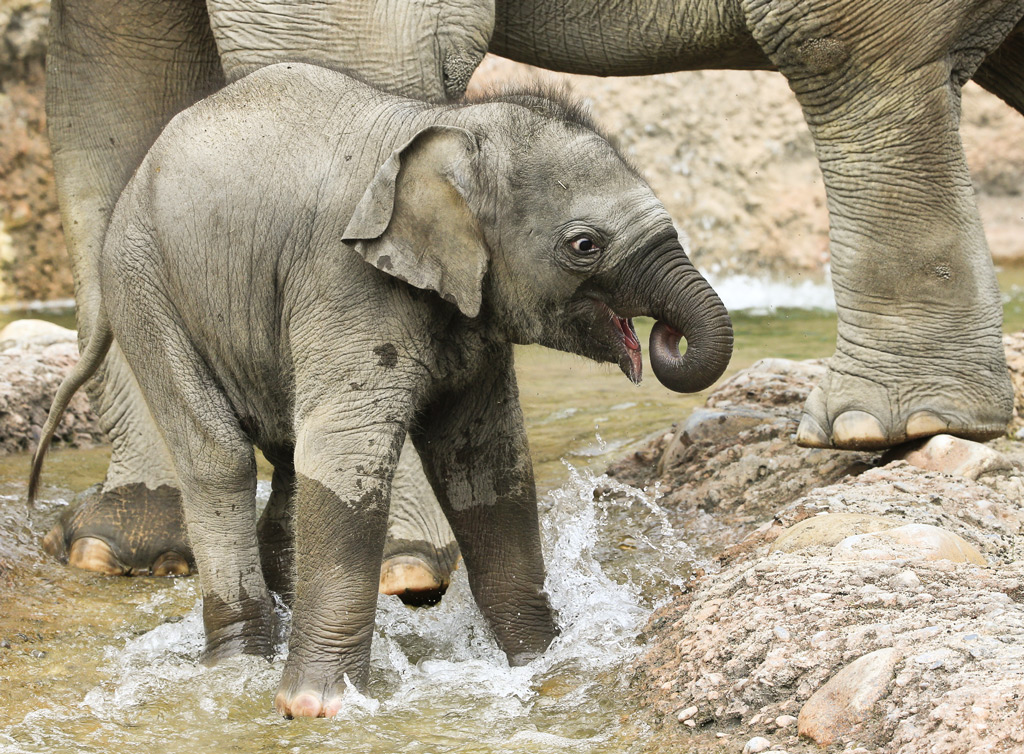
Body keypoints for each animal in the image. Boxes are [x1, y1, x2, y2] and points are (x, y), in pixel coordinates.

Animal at [29, 61, 737, 717]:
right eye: (584, 245)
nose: (664, 337)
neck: (449, 127)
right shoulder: (348, 280)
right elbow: (347, 455)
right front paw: (316, 707)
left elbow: (486, 466)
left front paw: (542, 661)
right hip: (144, 290)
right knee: (220, 461)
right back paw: (238, 665)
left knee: (289, 460)